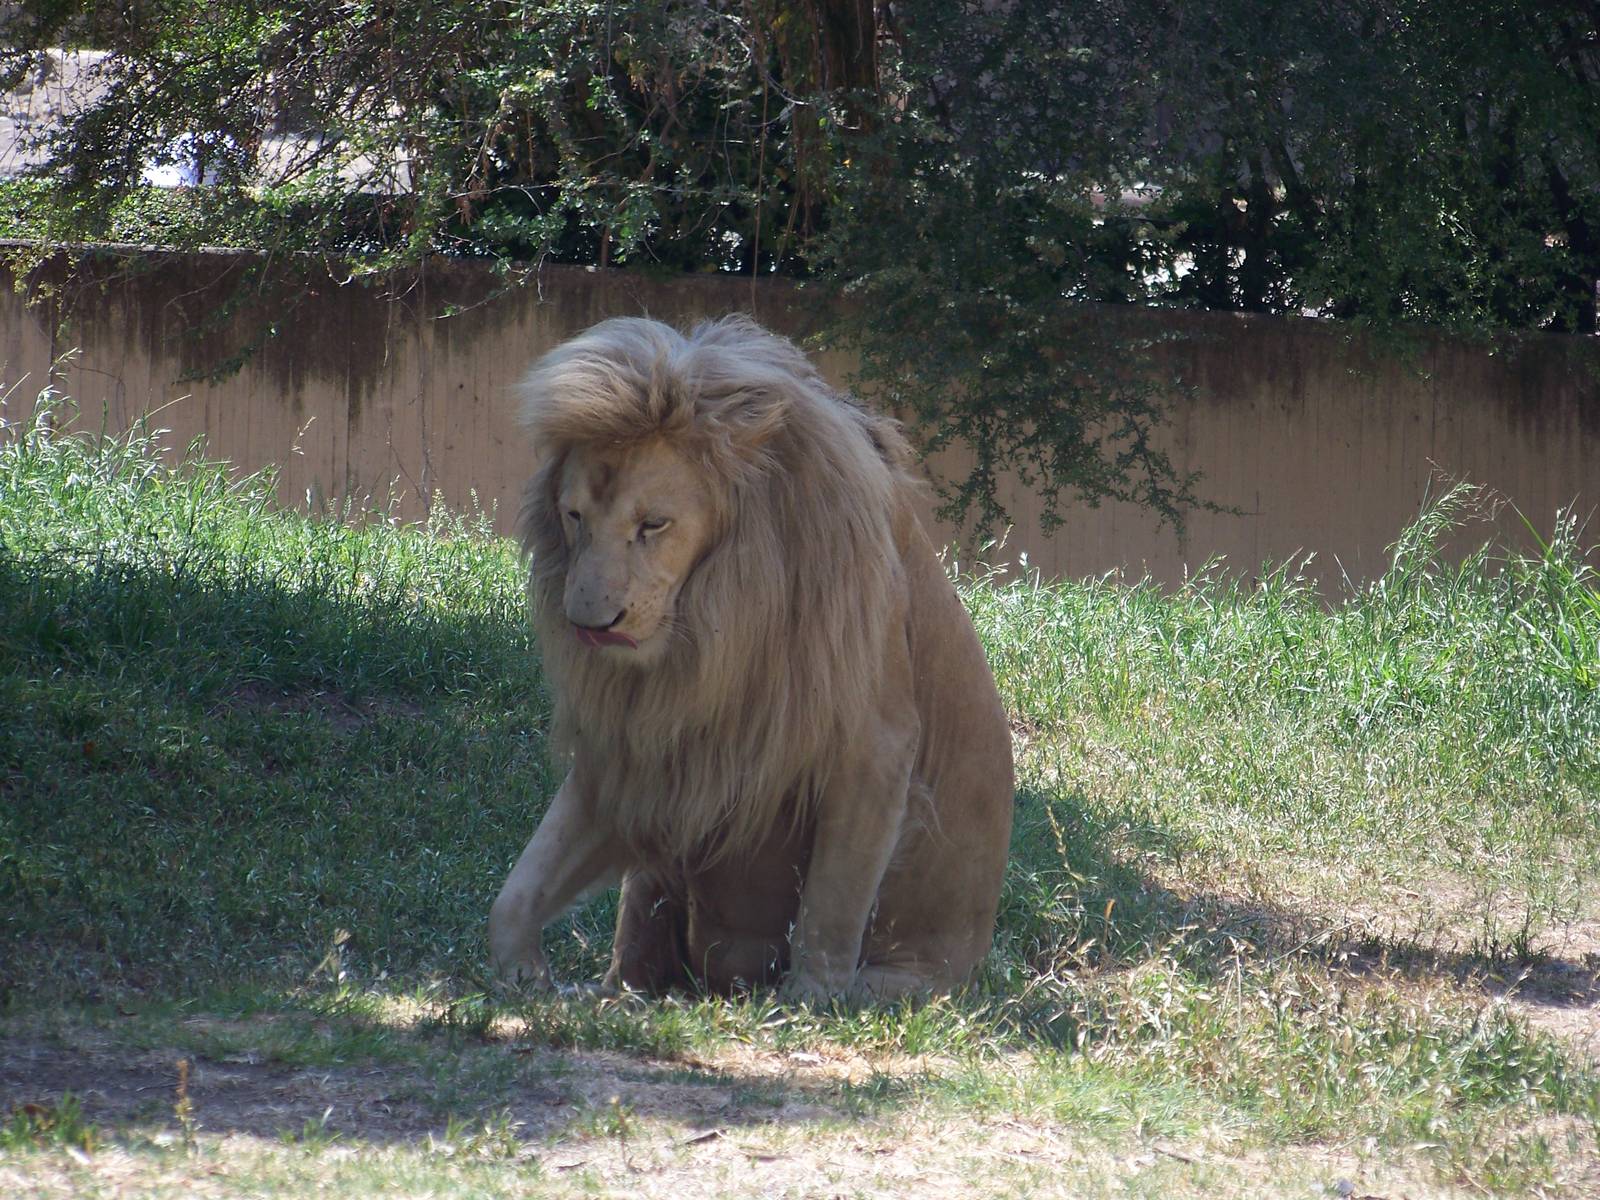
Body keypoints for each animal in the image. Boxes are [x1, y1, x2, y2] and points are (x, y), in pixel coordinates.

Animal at [488, 315, 1014, 1001]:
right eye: (573, 515)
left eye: (653, 524)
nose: (590, 626)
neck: (721, 622)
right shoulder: (628, 751)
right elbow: (518, 889)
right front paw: (522, 977)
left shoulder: (876, 743)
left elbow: (831, 906)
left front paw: (806, 1004)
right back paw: (615, 994)